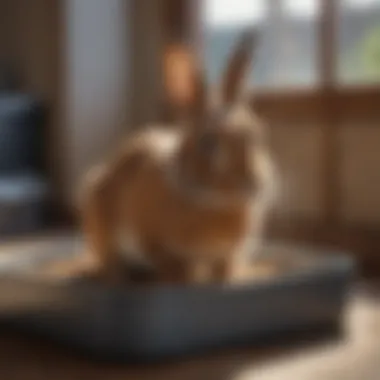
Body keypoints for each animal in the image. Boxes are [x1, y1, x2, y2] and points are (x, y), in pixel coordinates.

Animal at [81, 31, 276, 284]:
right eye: (209, 143)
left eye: (256, 135)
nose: (255, 183)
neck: (211, 202)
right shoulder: (156, 244)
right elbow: (176, 270)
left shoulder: (227, 257)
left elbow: (223, 272)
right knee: (109, 260)